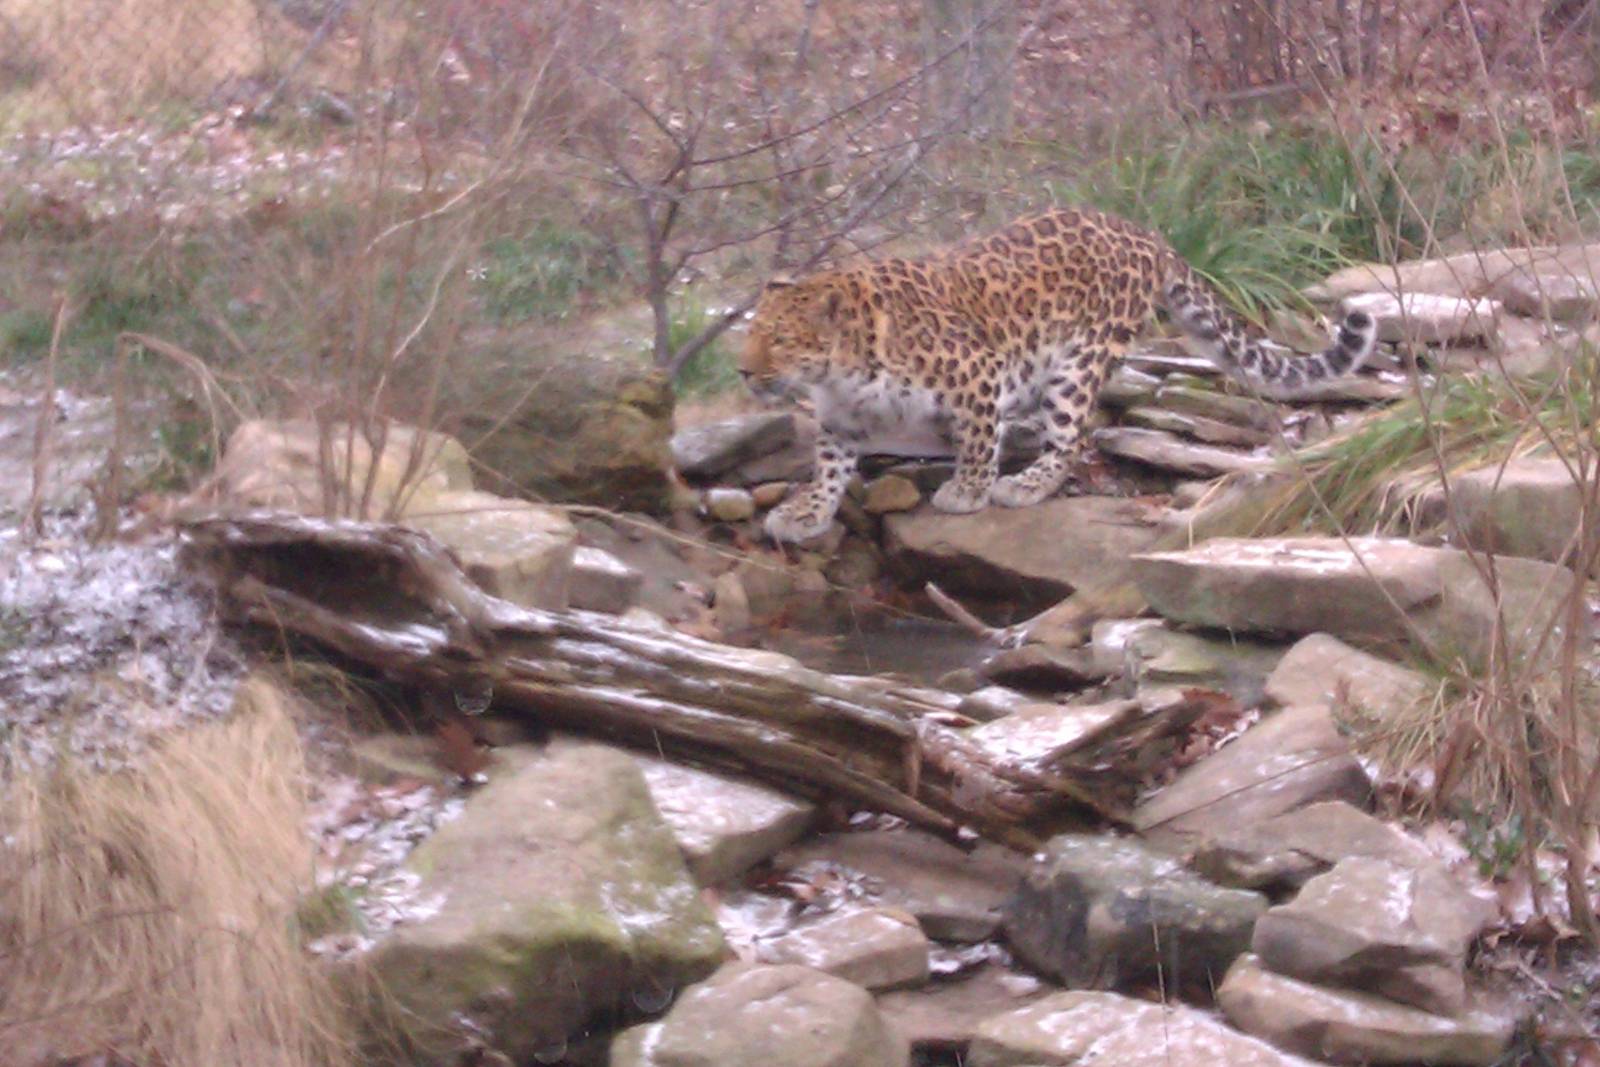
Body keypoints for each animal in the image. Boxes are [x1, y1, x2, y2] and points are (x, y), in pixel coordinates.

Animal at [739, 206, 1378, 543]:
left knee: (1071, 438)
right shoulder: (840, 418)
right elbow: (828, 468)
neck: (840, 371)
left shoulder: (977, 372)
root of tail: (1146, 235)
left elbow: (978, 439)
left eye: (778, 340)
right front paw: (806, 512)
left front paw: (967, 492)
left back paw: (1027, 483)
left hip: (1077, 364)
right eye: (750, 334)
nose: (744, 372)